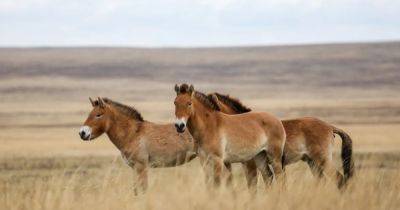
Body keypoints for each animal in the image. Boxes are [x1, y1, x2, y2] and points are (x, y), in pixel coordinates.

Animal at [209, 92, 354, 188]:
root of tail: (330, 127)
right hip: (312, 162)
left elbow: (253, 186)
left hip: (322, 160)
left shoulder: (250, 165)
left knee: (340, 179)